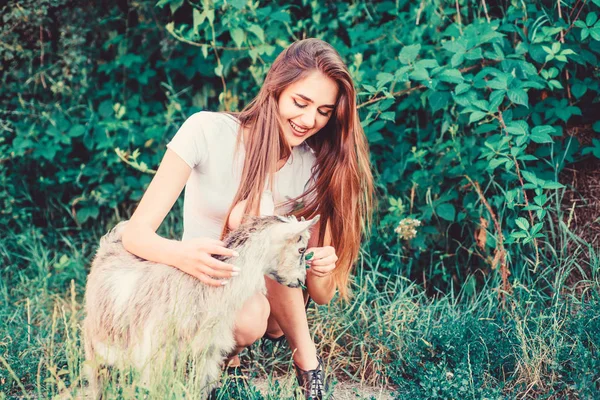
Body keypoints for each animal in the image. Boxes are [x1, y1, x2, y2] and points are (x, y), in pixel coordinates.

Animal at [84, 216, 322, 396]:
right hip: (95, 342)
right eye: (301, 249)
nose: (300, 280)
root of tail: (111, 242)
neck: (201, 289)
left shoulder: (207, 353)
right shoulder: (154, 357)